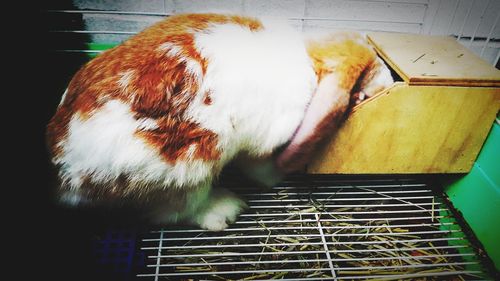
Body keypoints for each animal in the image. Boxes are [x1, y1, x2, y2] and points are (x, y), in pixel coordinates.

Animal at [45, 13, 392, 230]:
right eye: (368, 70)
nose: (388, 84)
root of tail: (64, 172)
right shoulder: (263, 145)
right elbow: (261, 167)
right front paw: (275, 179)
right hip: (196, 162)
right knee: (174, 212)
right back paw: (225, 210)